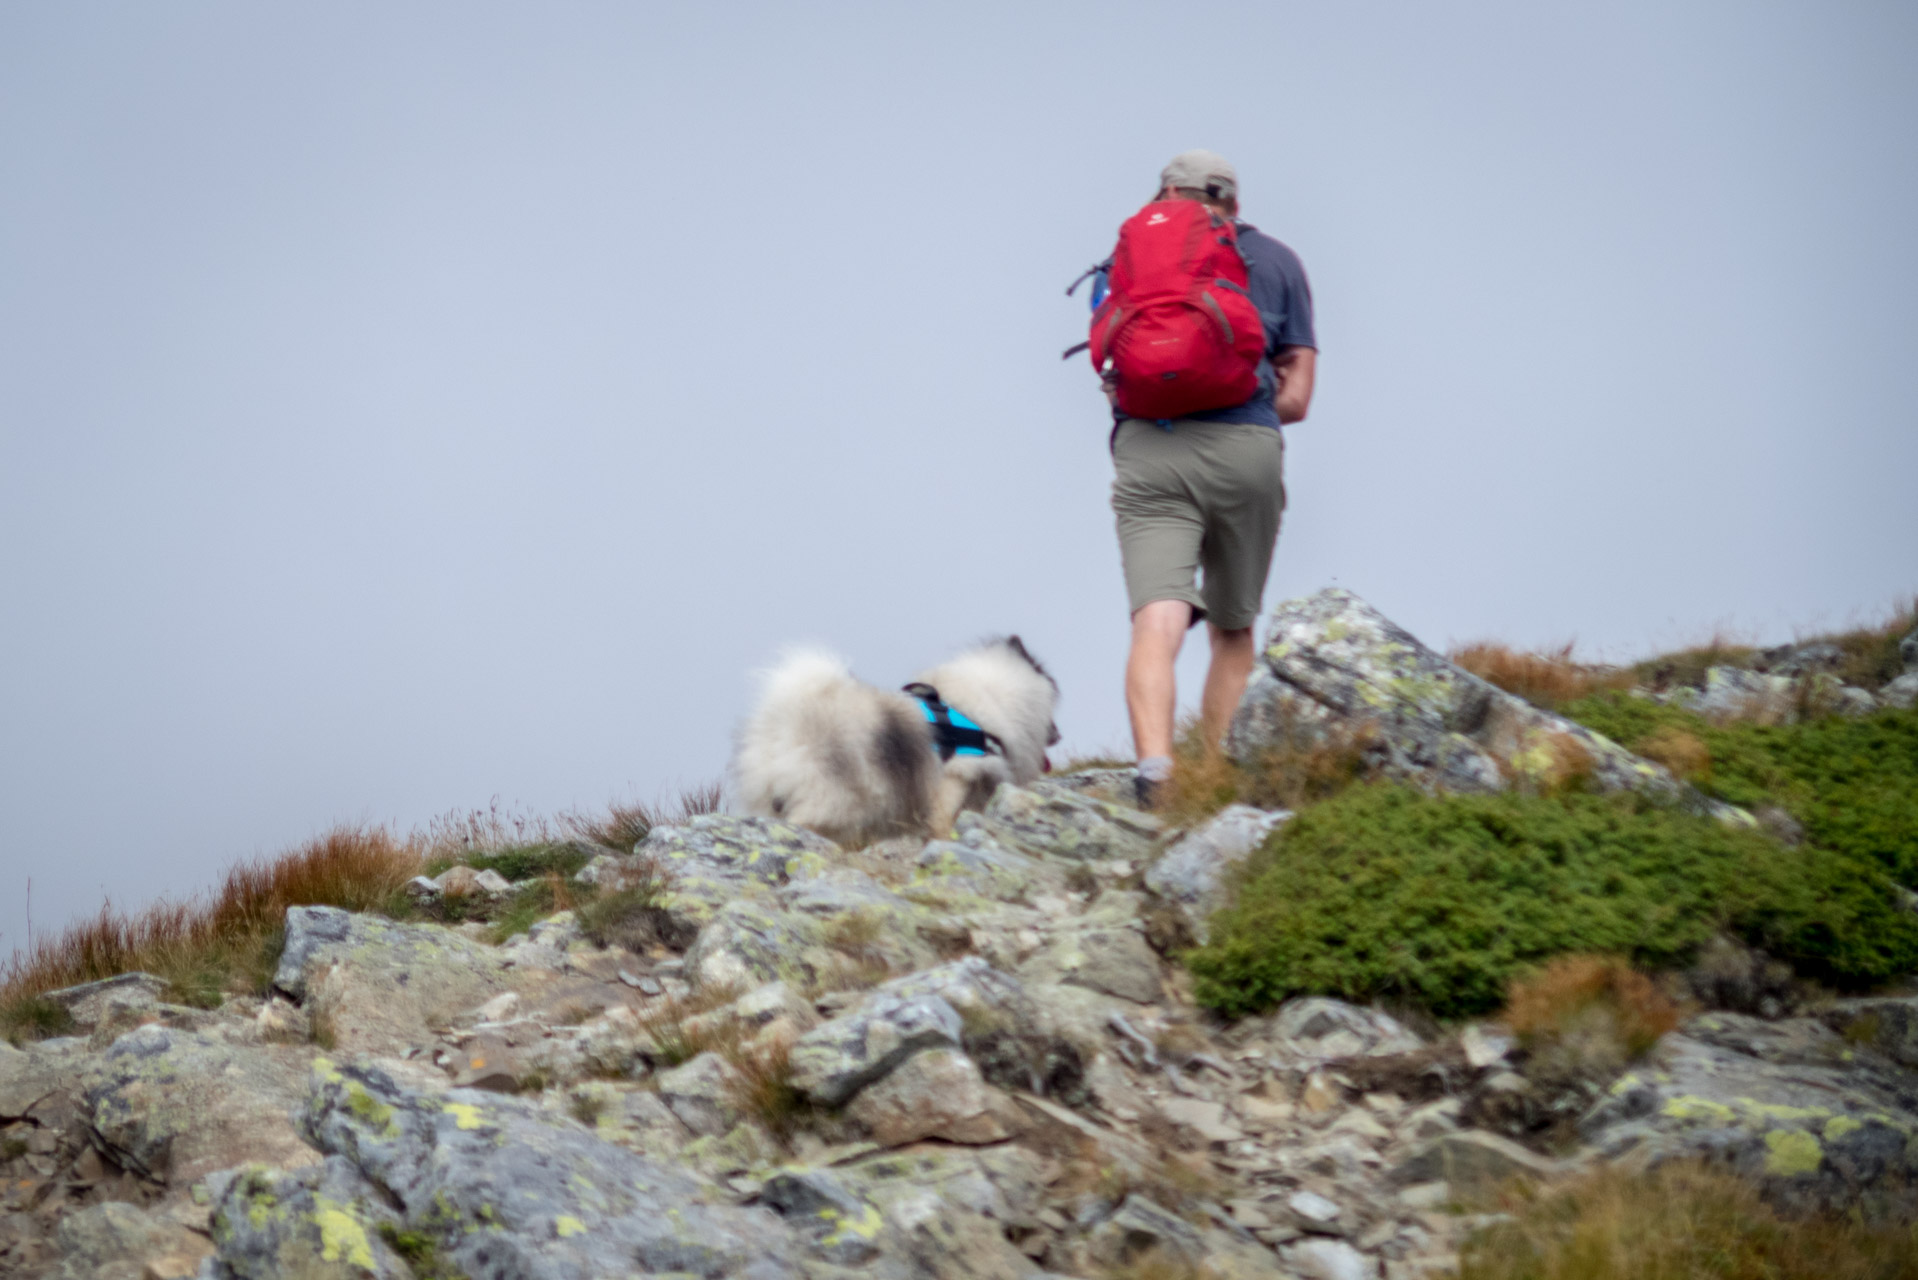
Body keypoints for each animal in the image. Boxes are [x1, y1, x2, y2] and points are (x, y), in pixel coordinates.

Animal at [732, 633, 1066, 852]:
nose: (1058, 734)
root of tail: (788, 725)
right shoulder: (955, 776)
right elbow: (942, 819)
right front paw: (944, 842)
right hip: (834, 797)